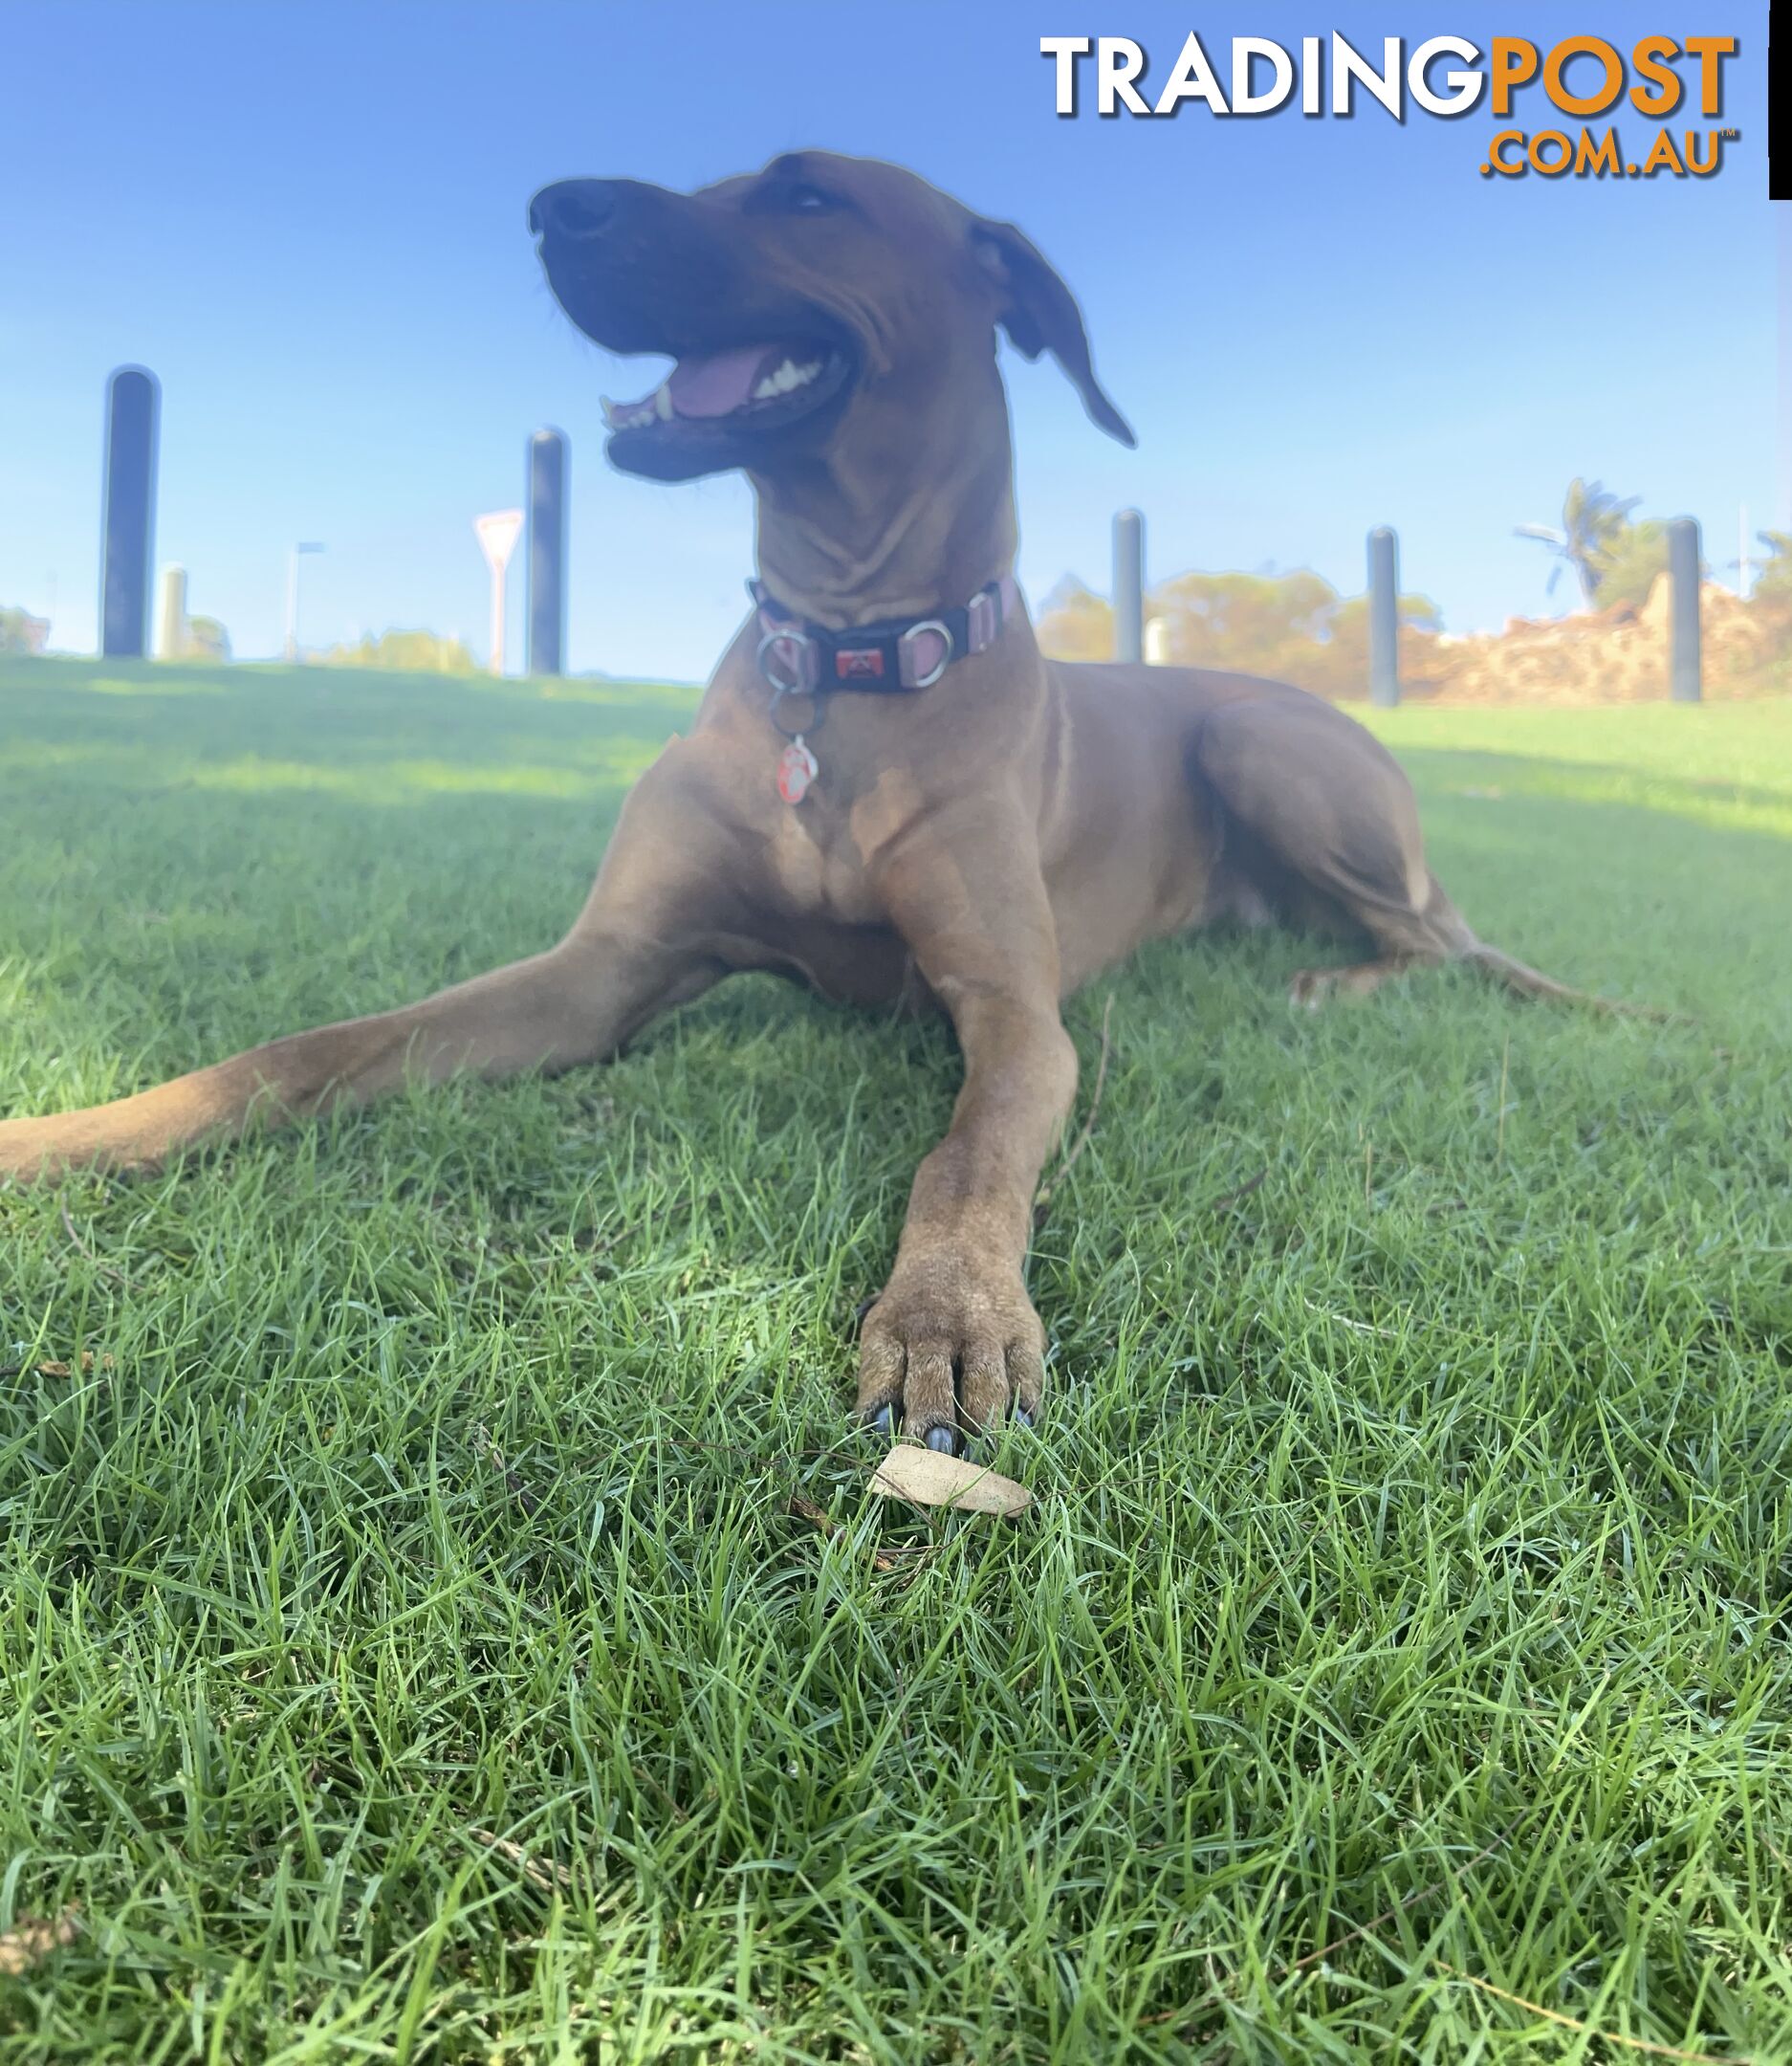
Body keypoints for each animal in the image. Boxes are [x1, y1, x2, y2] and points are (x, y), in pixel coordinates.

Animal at [0, 152, 1585, 1454]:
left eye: (807, 194)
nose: (552, 205)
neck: (846, 656)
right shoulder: (604, 971)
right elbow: (302, 1050)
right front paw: (63, 1134)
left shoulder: (1017, 1016)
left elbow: (966, 1152)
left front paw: (946, 1317)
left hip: (1264, 740)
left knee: (1434, 941)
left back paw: (1331, 981)